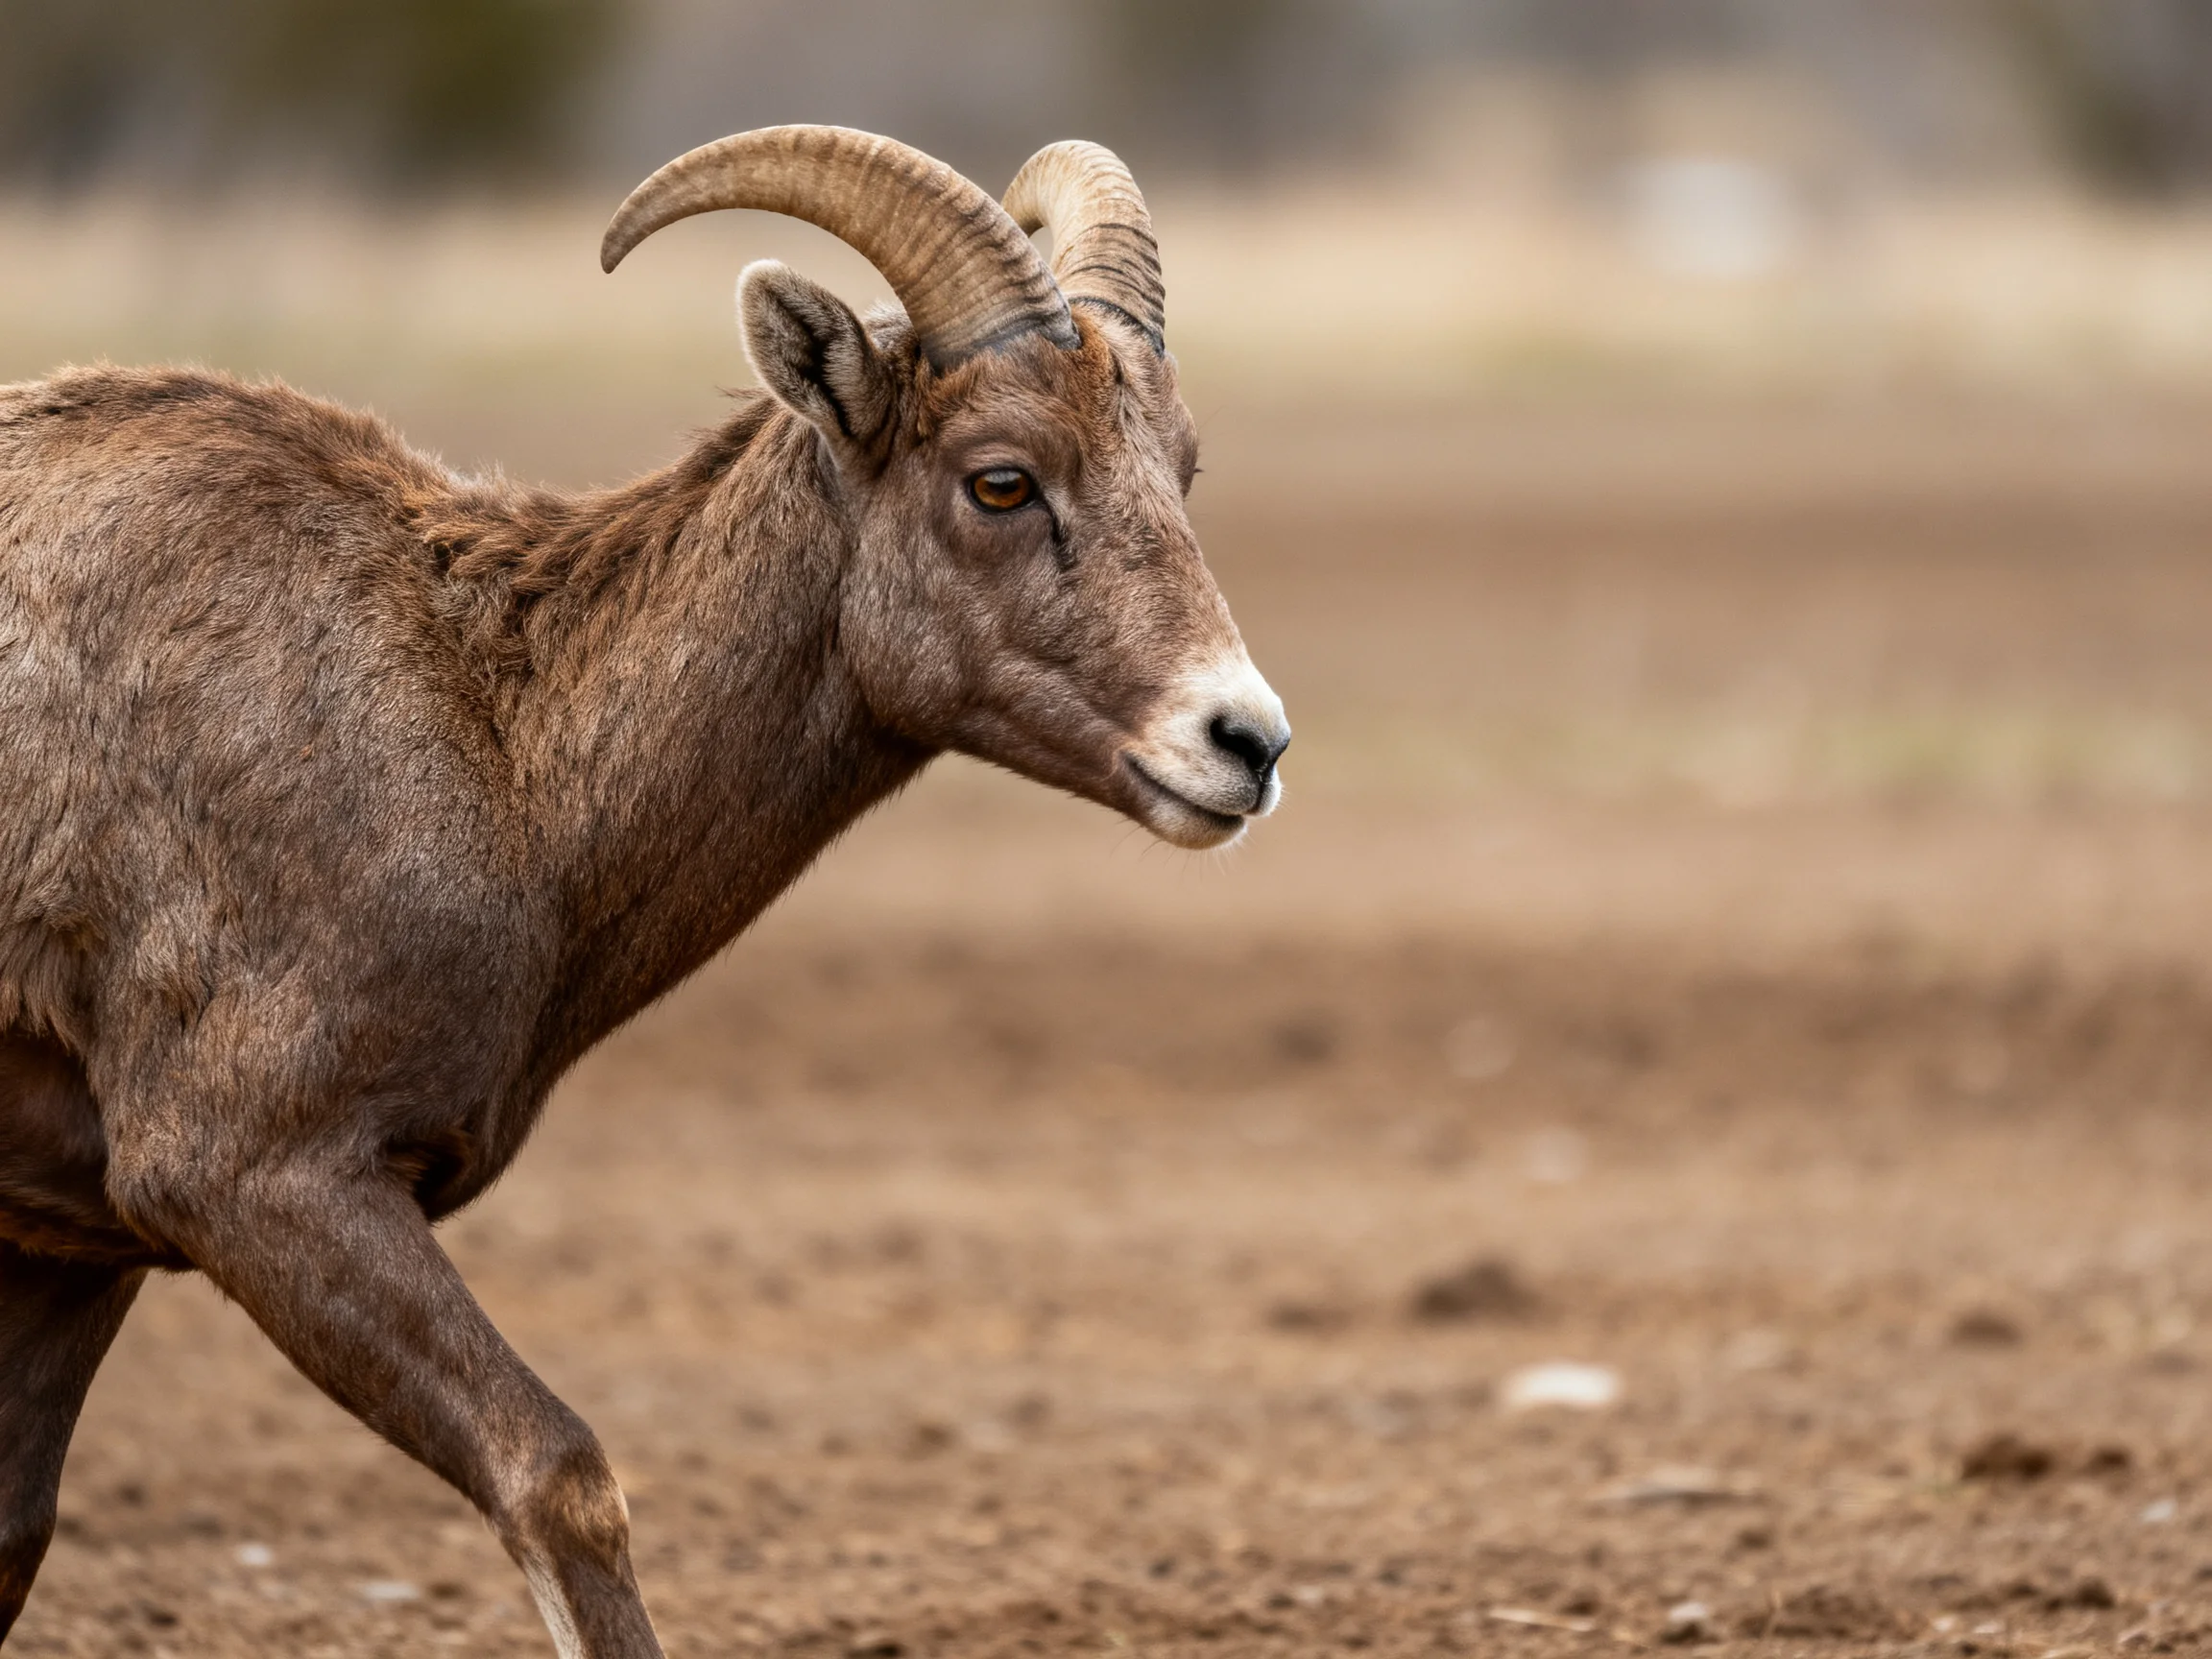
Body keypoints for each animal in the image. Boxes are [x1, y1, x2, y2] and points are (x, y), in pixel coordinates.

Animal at [0, 126, 1288, 1656]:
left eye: (1185, 467)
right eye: (1000, 480)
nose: (1246, 744)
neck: (494, 748)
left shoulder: (76, 1249)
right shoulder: (259, 1181)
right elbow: (561, 1481)